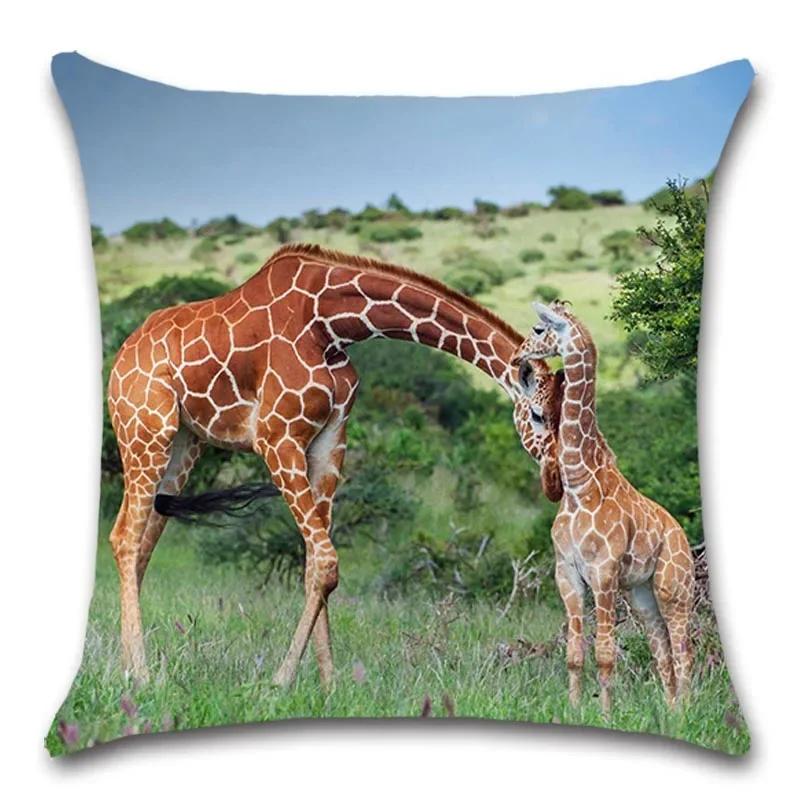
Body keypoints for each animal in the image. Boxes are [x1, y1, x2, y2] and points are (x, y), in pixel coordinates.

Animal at [107, 243, 561, 688]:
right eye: (539, 416)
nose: (556, 482)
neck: (331, 324)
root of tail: (121, 357)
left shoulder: (329, 440)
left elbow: (315, 564)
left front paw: (329, 685)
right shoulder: (277, 438)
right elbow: (326, 562)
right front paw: (281, 681)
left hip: (184, 445)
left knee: (142, 541)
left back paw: (126, 665)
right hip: (144, 431)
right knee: (124, 537)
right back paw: (142, 674)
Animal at [510, 301, 694, 713]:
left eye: (539, 328)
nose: (518, 357)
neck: (581, 483)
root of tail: (684, 537)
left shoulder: (604, 573)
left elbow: (606, 653)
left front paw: (607, 714)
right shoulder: (567, 573)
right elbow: (575, 653)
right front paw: (575, 708)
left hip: (674, 587)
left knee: (683, 650)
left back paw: (686, 713)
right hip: (642, 593)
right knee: (662, 650)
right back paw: (671, 712)